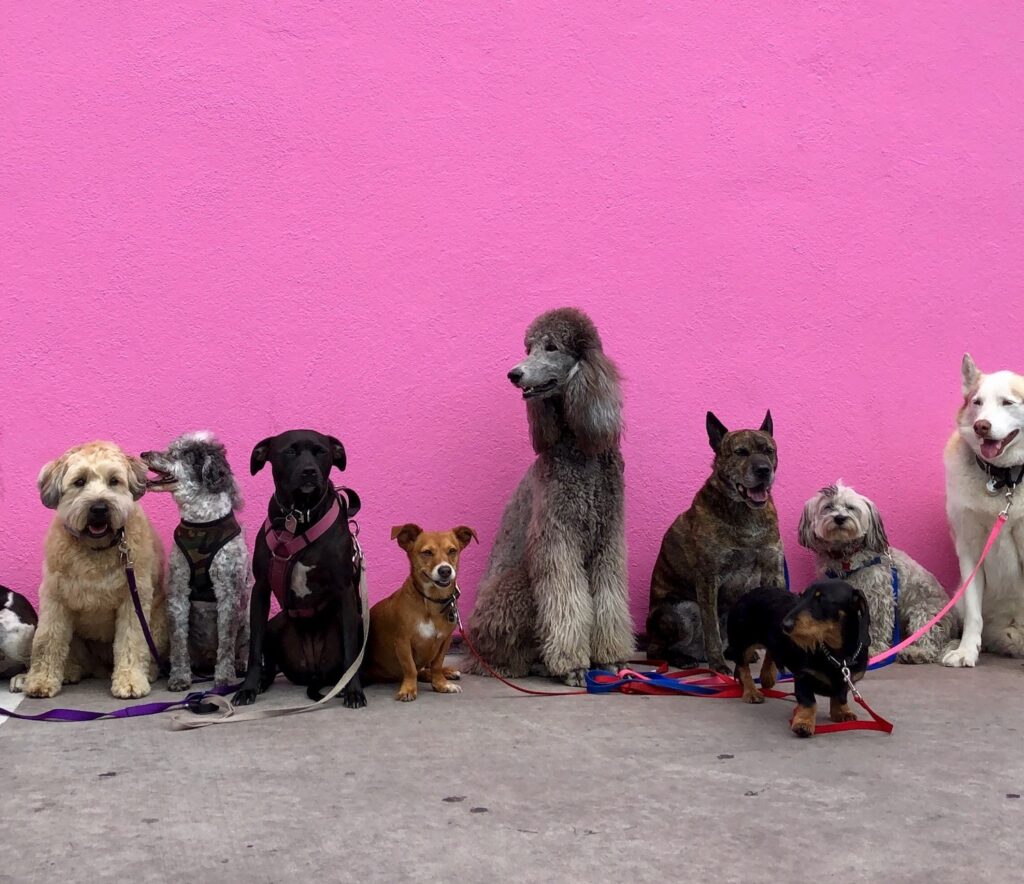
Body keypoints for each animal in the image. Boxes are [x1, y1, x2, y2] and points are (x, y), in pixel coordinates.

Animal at [17, 440, 167, 696]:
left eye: (114, 481)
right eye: (79, 481)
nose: (99, 508)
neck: (96, 549)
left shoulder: (133, 601)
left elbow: (132, 640)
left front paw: (130, 681)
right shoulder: (55, 599)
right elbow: (47, 640)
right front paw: (41, 681)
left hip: (159, 620)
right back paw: (69, 671)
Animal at [234, 426, 368, 708]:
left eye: (321, 452)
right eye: (290, 452)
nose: (309, 471)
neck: (299, 518)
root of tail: (314, 671)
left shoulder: (345, 592)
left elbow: (351, 652)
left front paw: (353, 691)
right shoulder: (260, 589)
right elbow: (254, 651)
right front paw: (248, 687)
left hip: (359, 621)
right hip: (275, 623)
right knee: (270, 663)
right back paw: (262, 682)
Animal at [647, 411, 782, 676]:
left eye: (769, 450)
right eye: (740, 452)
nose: (763, 470)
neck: (745, 512)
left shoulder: (772, 570)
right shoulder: (708, 578)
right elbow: (712, 631)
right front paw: (718, 665)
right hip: (678, 611)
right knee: (656, 651)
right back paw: (683, 658)